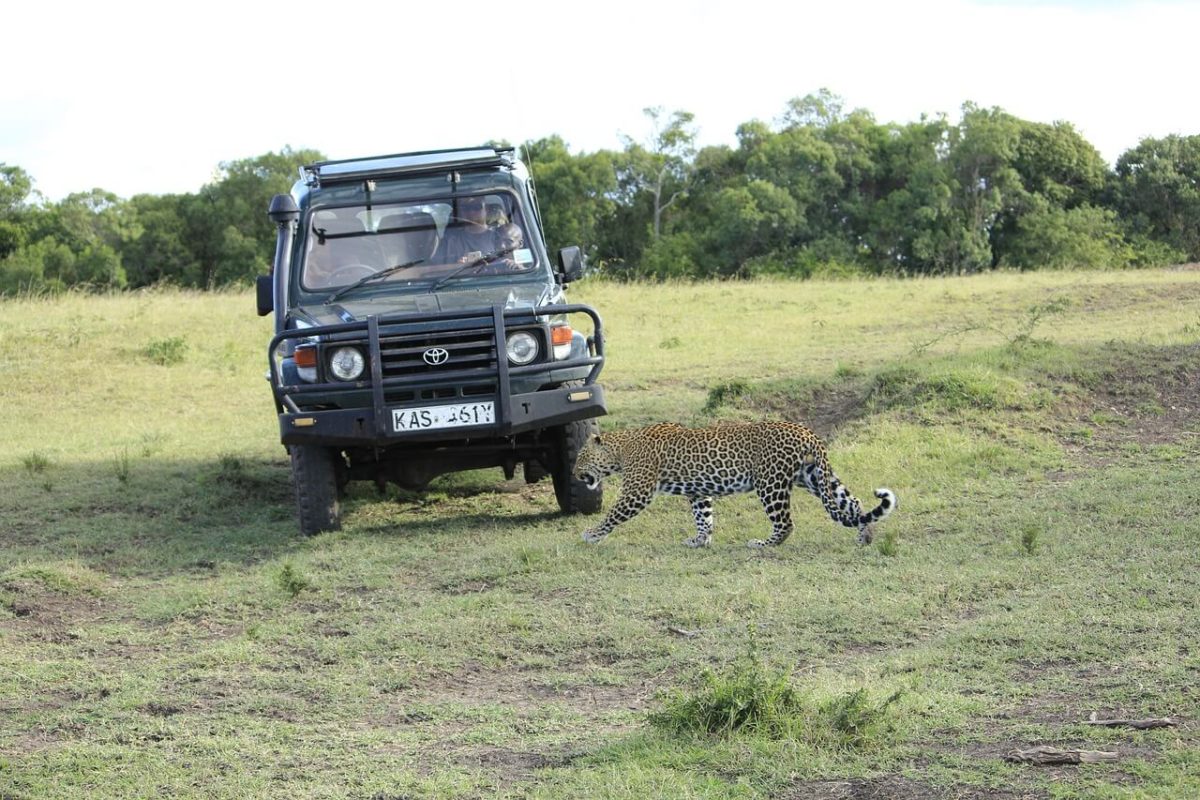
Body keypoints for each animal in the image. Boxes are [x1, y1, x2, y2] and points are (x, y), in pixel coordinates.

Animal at [573, 419, 902, 551]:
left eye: (581, 457)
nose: (575, 474)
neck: (621, 449)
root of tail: (805, 431)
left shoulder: (637, 491)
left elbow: (613, 515)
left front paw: (591, 535)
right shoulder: (698, 492)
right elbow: (704, 517)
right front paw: (700, 541)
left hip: (770, 483)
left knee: (785, 523)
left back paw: (763, 544)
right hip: (813, 476)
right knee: (854, 503)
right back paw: (865, 536)